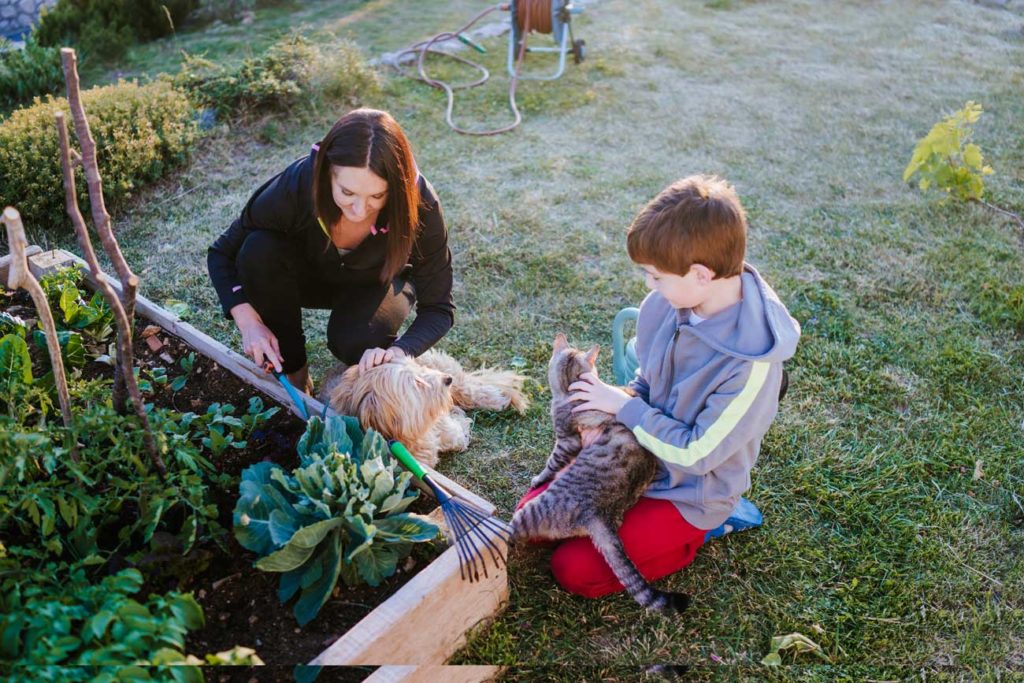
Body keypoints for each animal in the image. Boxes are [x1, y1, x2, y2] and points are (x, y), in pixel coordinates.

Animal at [327, 350, 532, 466]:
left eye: (418, 369)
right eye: (416, 382)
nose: (447, 379)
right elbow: (456, 434)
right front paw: (457, 418)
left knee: (469, 388)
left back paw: (497, 399)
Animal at [509, 331, 692, 614]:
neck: (573, 388)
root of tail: (603, 514)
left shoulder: (566, 441)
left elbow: (550, 465)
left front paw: (538, 477)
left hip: (534, 509)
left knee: (507, 534)